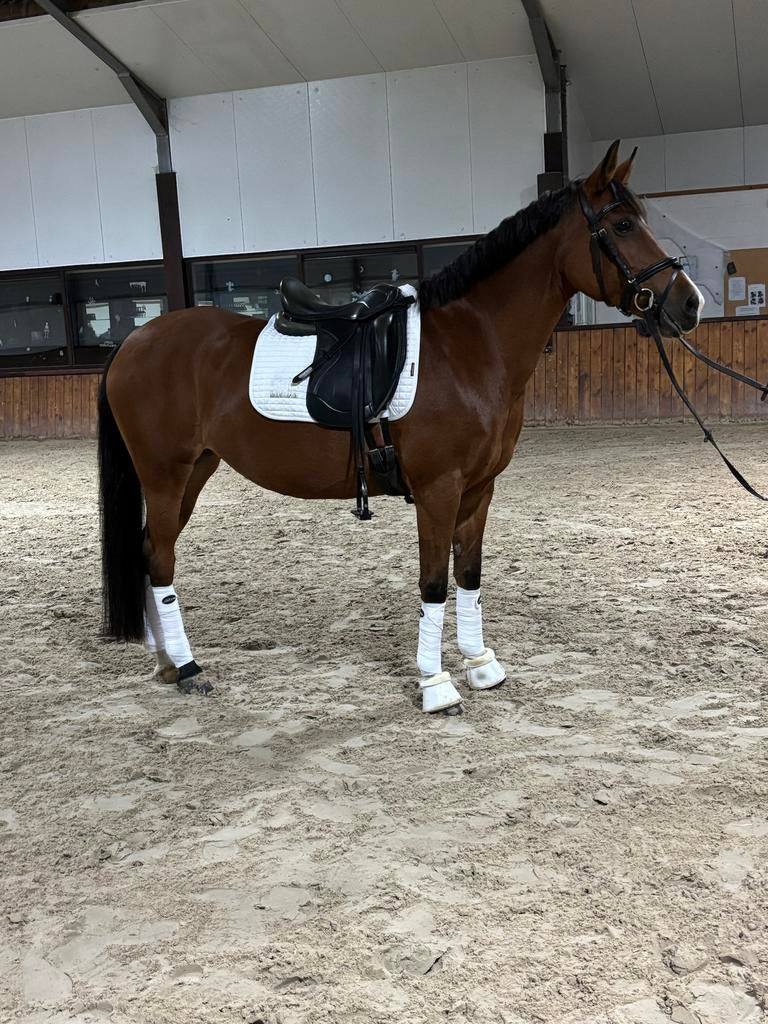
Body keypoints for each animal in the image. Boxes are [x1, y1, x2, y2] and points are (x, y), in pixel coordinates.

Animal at [97, 140, 703, 714]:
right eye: (622, 225)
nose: (690, 304)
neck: (470, 345)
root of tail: (131, 343)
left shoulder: (478, 490)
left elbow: (469, 576)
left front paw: (480, 664)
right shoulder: (439, 488)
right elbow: (433, 583)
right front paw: (437, 685)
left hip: (196, 469)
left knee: (151, 551)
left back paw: (167, 664)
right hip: (166, 474)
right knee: (160, 560)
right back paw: (189, 668)